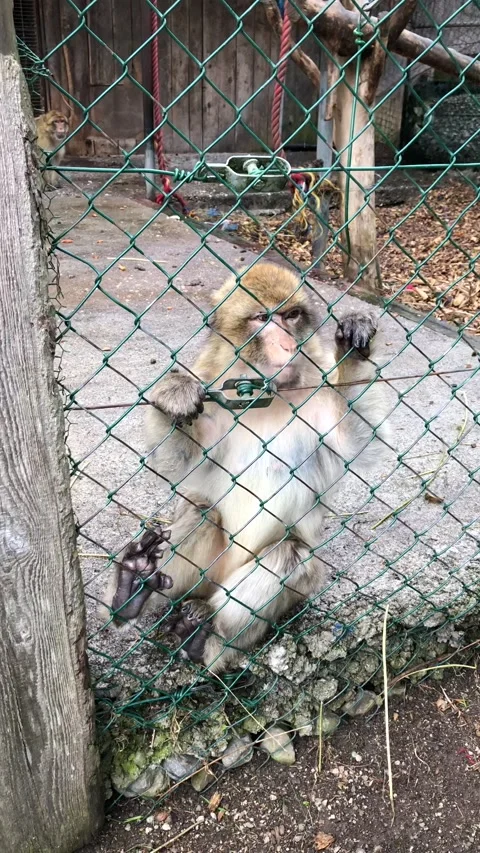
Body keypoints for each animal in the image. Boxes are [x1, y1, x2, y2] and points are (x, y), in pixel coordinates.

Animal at [98, 262, 391, 674]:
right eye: (262, 318)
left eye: (291, 315)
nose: (287, 345)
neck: (265, 398)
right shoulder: (215, 396)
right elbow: (178, 462)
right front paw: (173, 395)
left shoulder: (316, 398)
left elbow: (356, 440)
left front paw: (353, 343)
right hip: (203, 574)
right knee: (202, 511)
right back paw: (132, 591)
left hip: (284, 594)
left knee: (289, 556)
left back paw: (208, 641)